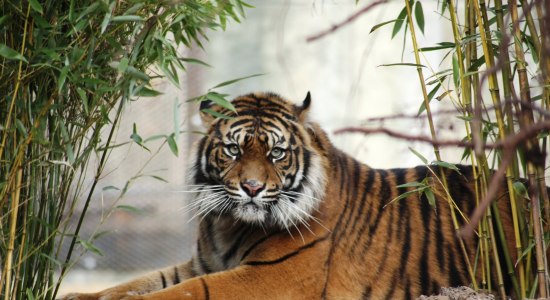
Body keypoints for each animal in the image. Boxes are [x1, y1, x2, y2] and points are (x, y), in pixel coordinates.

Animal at [62, 92, 520, 298]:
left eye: (276, 153)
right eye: (234, 150)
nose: (251, 188)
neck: (228, 225)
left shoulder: (270, 276)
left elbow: (182, 293)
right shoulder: (199, 263)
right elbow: (137, 283)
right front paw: (77, 295)